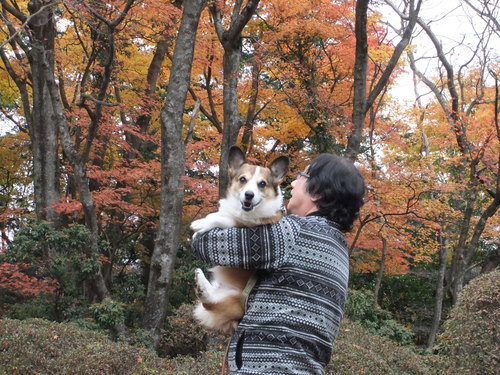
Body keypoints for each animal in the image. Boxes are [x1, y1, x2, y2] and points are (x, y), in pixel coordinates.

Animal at [189, 145, 290, 334]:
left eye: (262, 184)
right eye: (243, 179)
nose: (249, 195)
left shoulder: (245, 226)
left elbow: (225, 219)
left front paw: (200, 224)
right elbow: (219, 214)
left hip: (234, 299)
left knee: (210, 302)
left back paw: (203, 288)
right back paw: (201, 281)